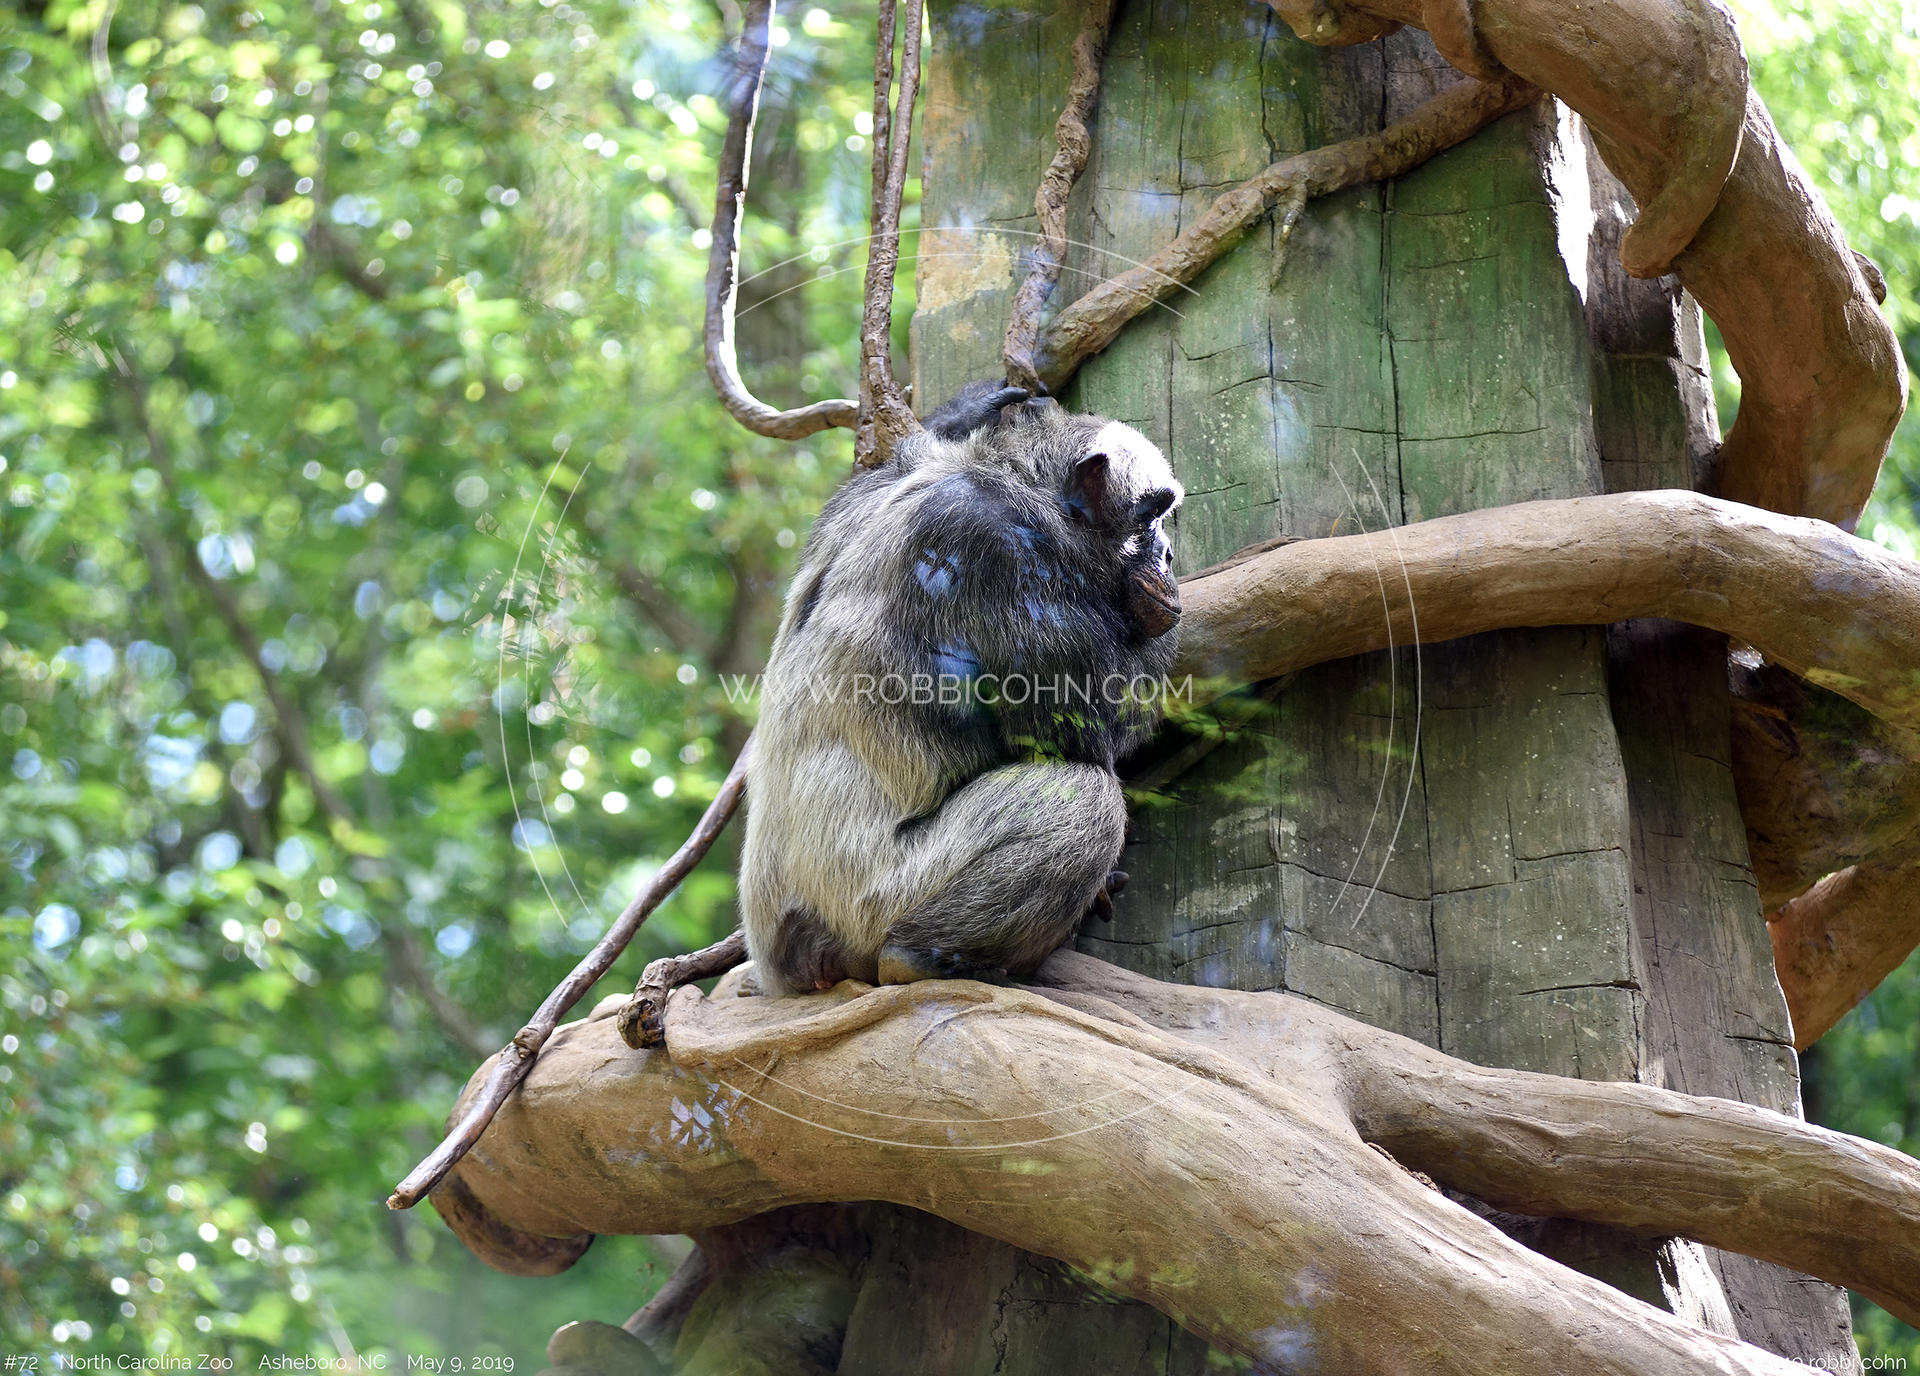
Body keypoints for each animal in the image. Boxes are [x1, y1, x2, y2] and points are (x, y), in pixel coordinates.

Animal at [738, 380, 1185, 995]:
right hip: (875, 900)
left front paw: (967, 411)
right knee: (1078, 798)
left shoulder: (858, 501)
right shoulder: (999, 551)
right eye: (1152, 515)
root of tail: (784, 965)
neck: (1013, 483)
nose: (1168, 554)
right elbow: (1089, 730)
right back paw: (931, 959)